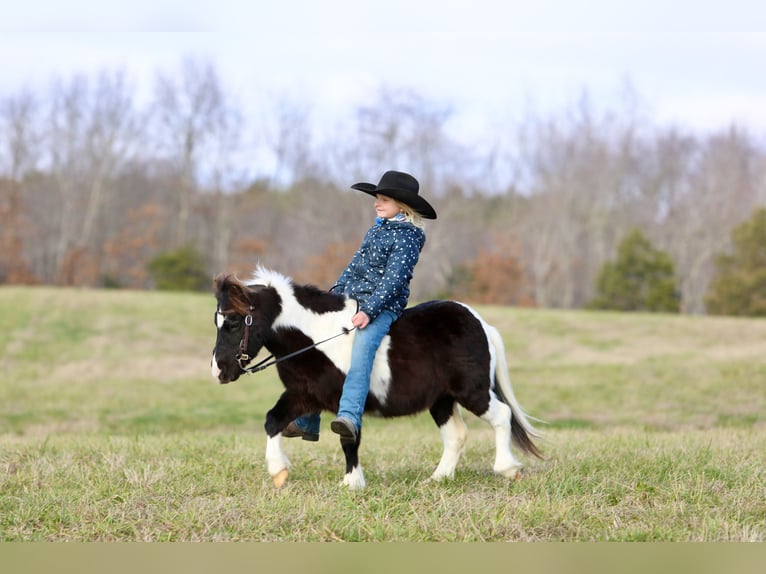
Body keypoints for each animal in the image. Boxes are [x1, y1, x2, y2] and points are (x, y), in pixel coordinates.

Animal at [211, 267, 542, 489]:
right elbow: (273, 421)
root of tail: (481, 323)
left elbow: (348, 437)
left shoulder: (345, 399)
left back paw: (507, 469)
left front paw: (352, 483)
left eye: (234, 321)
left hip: (472, 391)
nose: (218, 370)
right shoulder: (303, 394)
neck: (316, 339)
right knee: (456, 436)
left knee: (502, 415)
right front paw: (279, 472)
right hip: (442, 400)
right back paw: (437, 479)